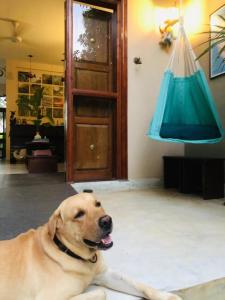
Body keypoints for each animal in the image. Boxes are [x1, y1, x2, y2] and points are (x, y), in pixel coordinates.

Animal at [0, 193, 182, 298]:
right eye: (79, 214)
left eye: (98, 204)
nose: (107, 220)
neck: (69, 252)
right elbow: (101, 292)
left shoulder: (106, 274)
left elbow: (140, 285)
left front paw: (166, 296)